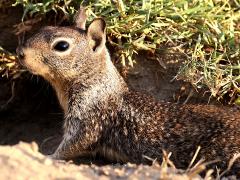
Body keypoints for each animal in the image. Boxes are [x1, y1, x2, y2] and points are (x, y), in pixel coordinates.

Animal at [16, 7, 240, 174]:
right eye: (44, 27)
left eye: (61, 46)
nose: (20, 53)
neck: (97, 81)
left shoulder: (87, 118)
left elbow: (72, 145)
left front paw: (45, 156)